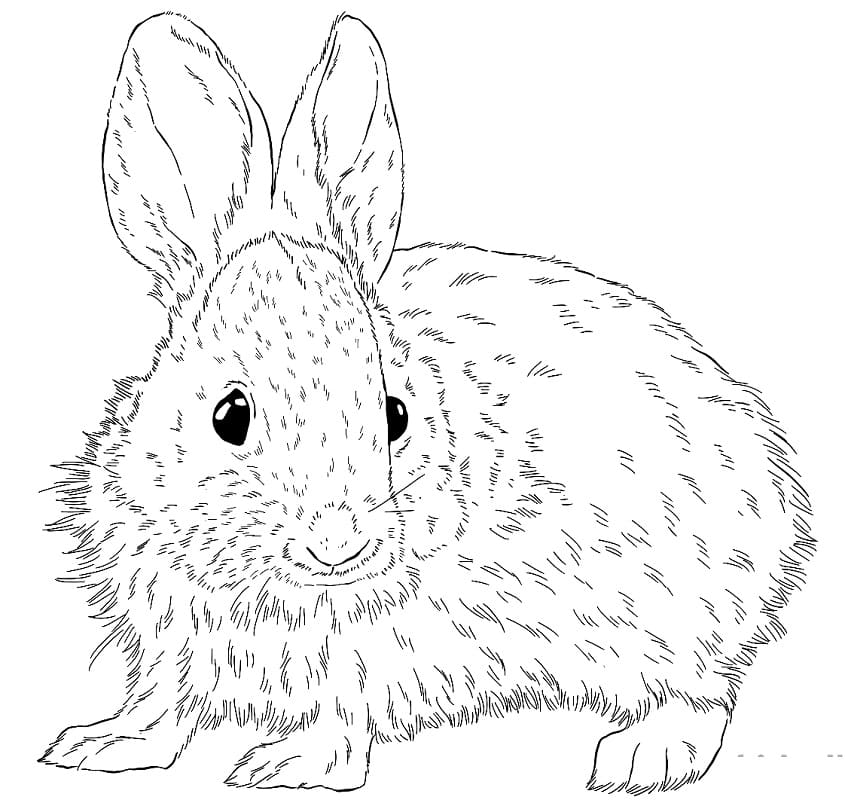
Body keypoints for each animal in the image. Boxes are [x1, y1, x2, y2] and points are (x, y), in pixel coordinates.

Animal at [39, 11, 815, 794]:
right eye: (230, 417)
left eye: (394, 414)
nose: (339, 544)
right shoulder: (172, 637)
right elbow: (162, 704)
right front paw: (99, 745)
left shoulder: (369, 654)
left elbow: (342, 722)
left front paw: (288, 763)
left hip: (670, 616)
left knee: (702, 693)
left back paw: (640, 758)